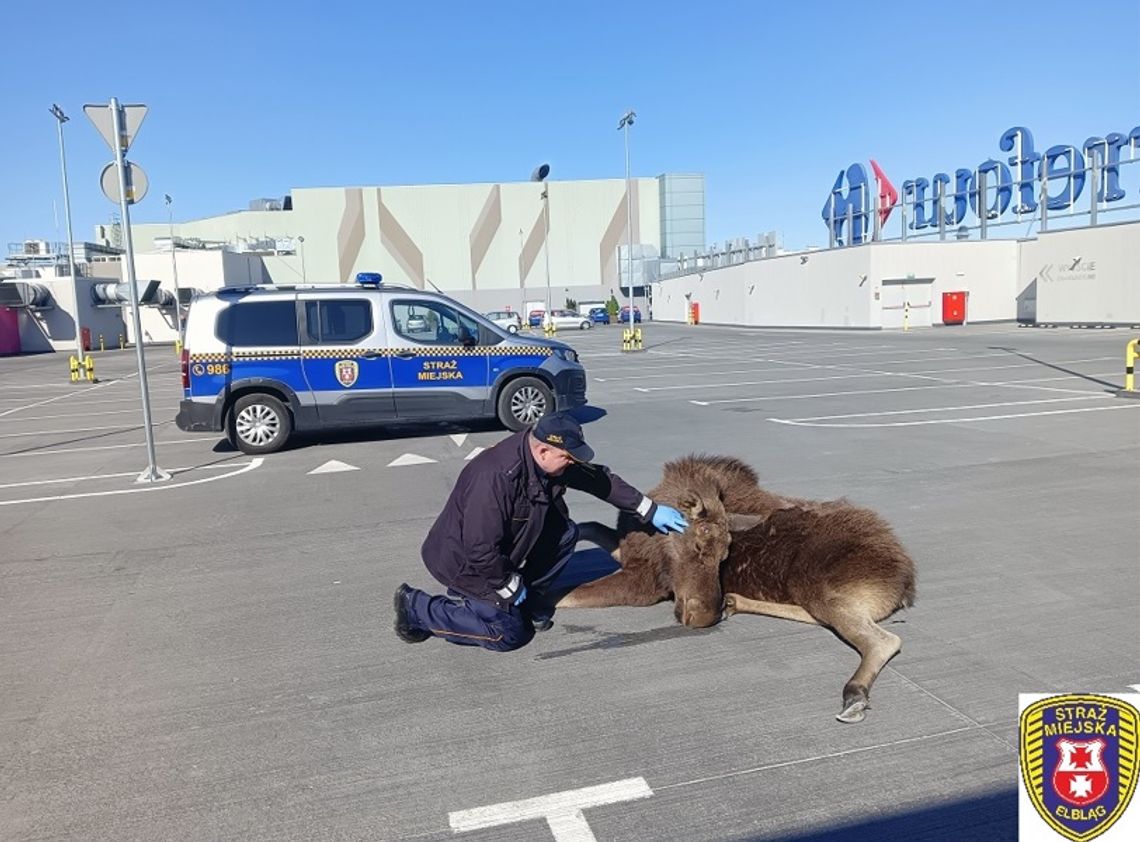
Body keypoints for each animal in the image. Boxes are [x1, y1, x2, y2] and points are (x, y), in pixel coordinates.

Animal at [554, 453, 916, 724]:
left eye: (725, 555)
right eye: (699, 546)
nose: (704, 617)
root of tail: (905, 581)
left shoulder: (643, 583)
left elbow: (566, 596)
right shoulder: (628, 554)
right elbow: (589, 526)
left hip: (818, 586)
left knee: (883, 640)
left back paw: (854, 694)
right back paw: (734, 601)